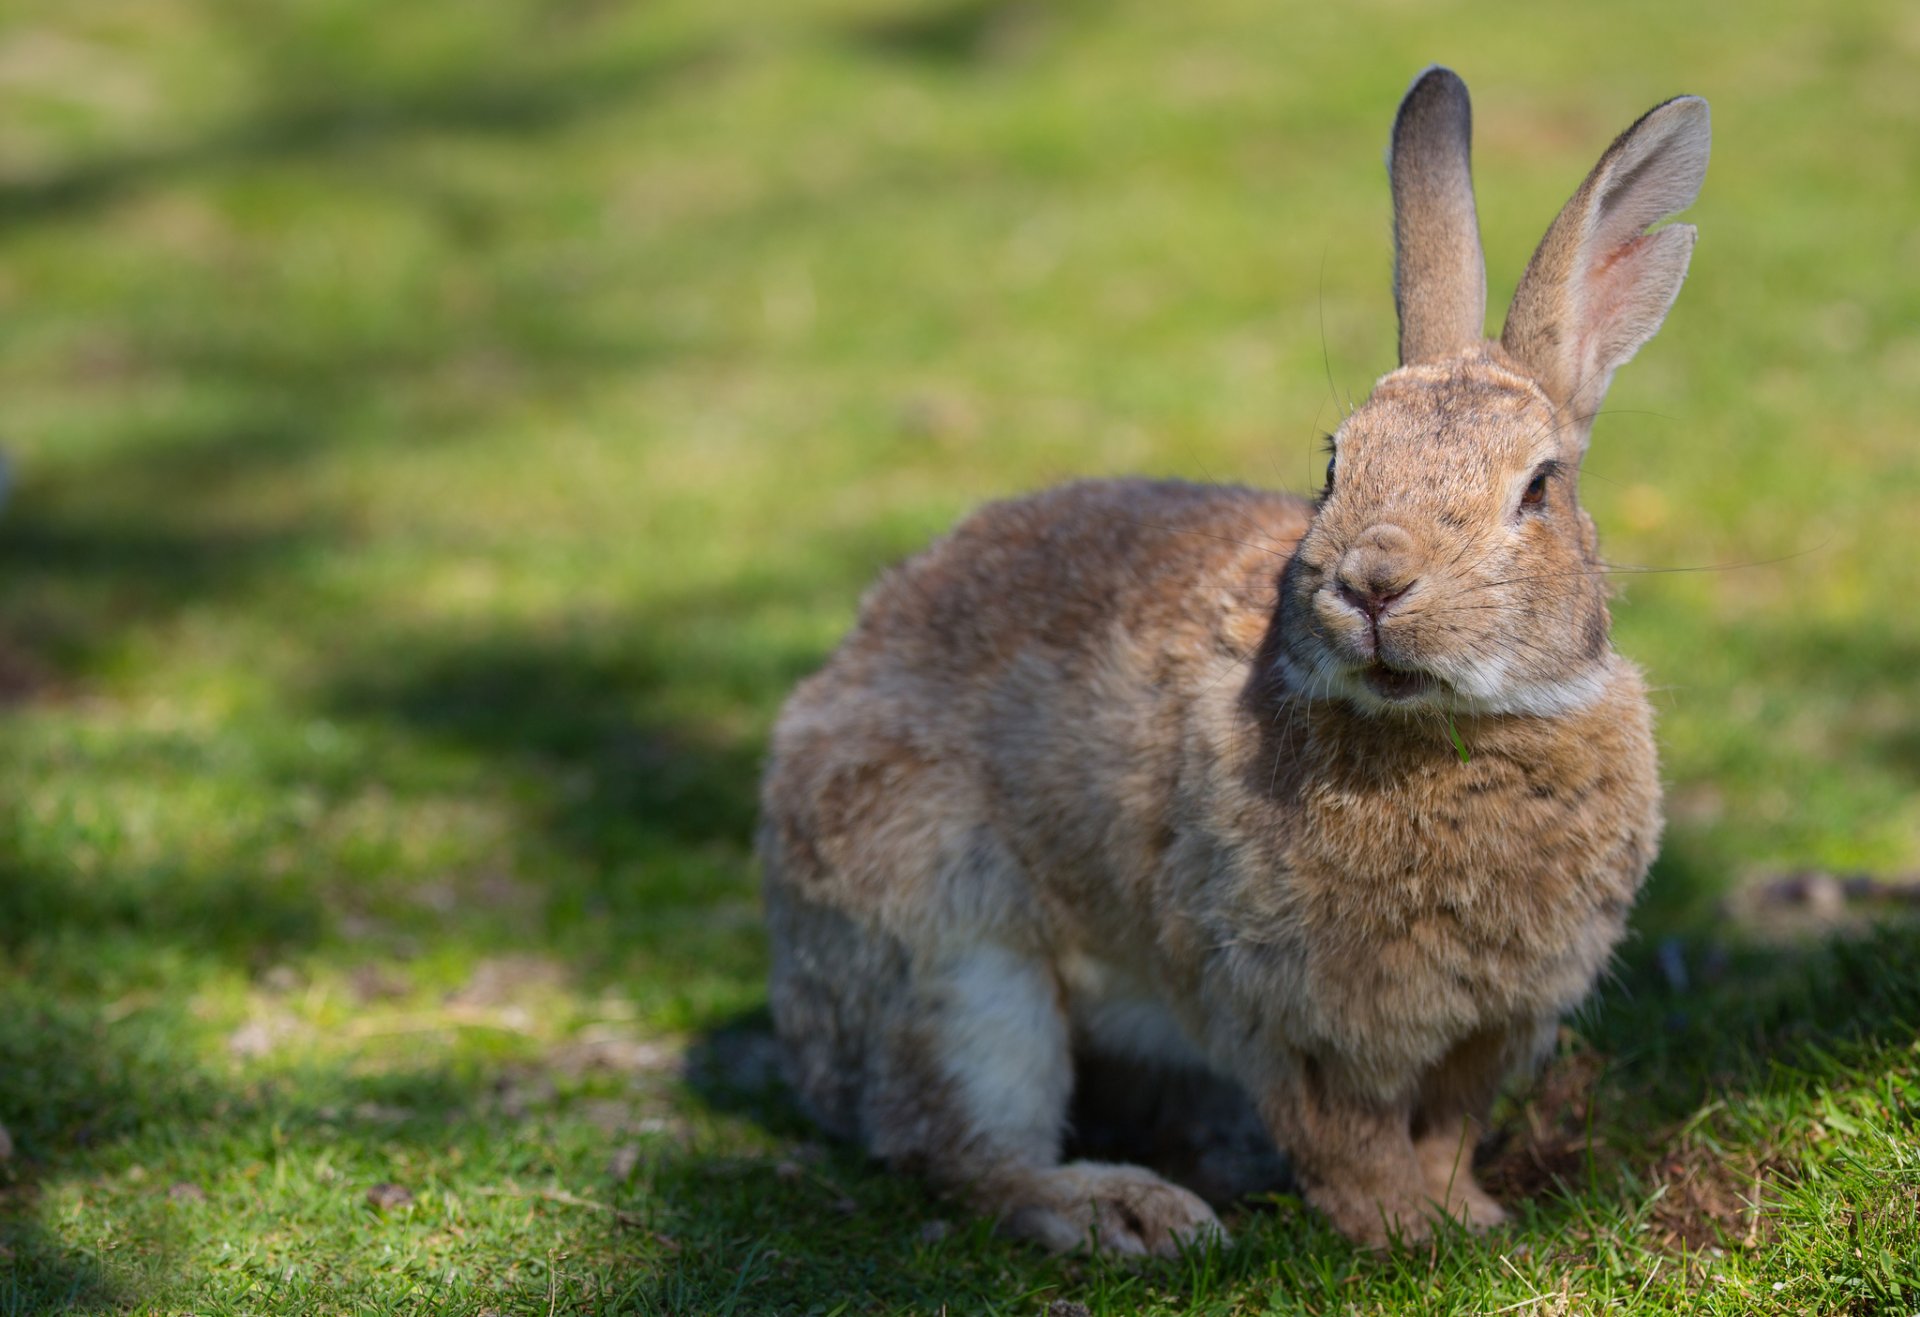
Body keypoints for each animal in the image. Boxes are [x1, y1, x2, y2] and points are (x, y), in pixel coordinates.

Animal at [758, 67, 1707, 1254]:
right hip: (957, 953)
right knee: (960, 1145)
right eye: (1336, 462)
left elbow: (1444, 1128)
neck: (1442, 735)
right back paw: (1132, 1214)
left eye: (1537, 489)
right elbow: (1349, 1138)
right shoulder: (1288, 1015)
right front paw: (1403, 1232)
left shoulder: (1489, 1029)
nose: (1374, 582)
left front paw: (1470, 1217)